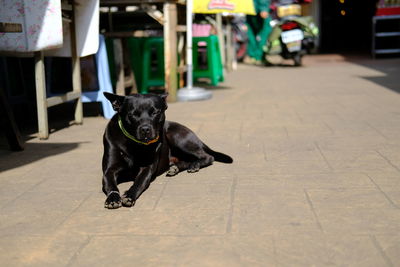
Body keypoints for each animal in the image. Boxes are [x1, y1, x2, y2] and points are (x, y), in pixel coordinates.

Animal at [101, 93, 233, 210]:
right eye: (133, 114)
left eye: (155, 112)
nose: (145, 129)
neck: (133, 144)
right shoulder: (109, 170)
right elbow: (111, 184)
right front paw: (113, 198)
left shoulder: (147, 169)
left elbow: (139, 182)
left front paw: (129, 195)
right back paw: (177, 168)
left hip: (176, 137)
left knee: (208, 157)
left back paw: (194, 165)